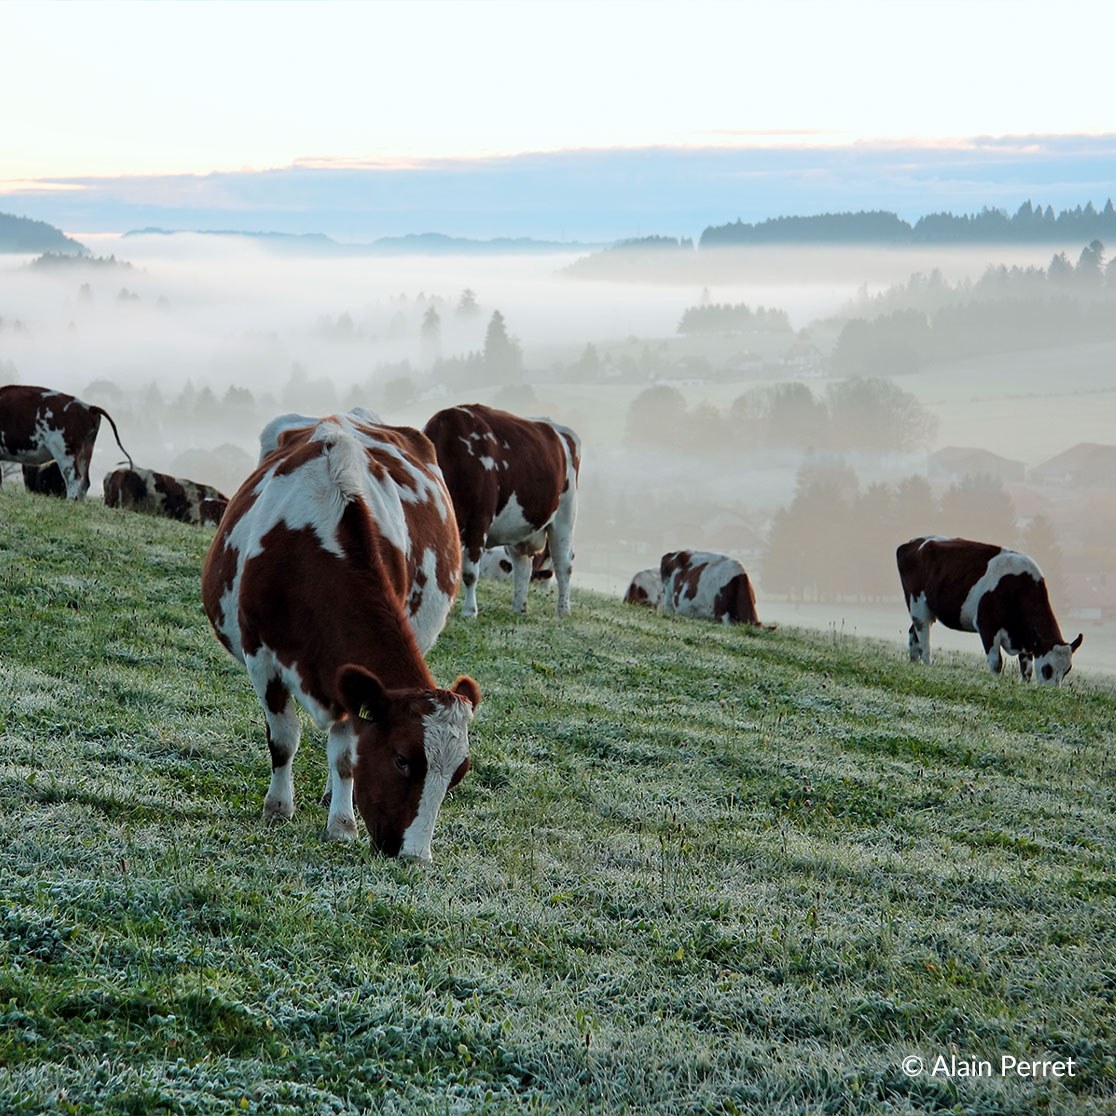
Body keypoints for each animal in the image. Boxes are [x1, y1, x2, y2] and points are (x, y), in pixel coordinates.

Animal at [201, 415, 479, 857]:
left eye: (458, 773)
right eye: (402, 759)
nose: (414, 856)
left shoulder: (349, 676)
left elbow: (347, 756)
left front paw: (342, 826)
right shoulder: (261, 657)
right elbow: (283, 739)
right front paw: (278, 808)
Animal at [419, 403, 584, 620]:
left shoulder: (479, 520)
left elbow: (469, 573)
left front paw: (469, 611)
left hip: (565, 514)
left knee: (563, 564)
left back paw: (563, 611)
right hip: (519, 527)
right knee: (523, 566)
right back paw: (519, 607)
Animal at [897, 535, 1080, 682]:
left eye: (1067, 670)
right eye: (1047, 669)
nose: (1051, 691)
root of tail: (915, 542)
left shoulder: (1026, 641)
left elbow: (1026, 670)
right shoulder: (987, 625)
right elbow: (996, 662)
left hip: (927, 609)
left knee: (913, 633)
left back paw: (914, 662)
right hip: (917, 605)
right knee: (923, 637)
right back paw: (928, 664)